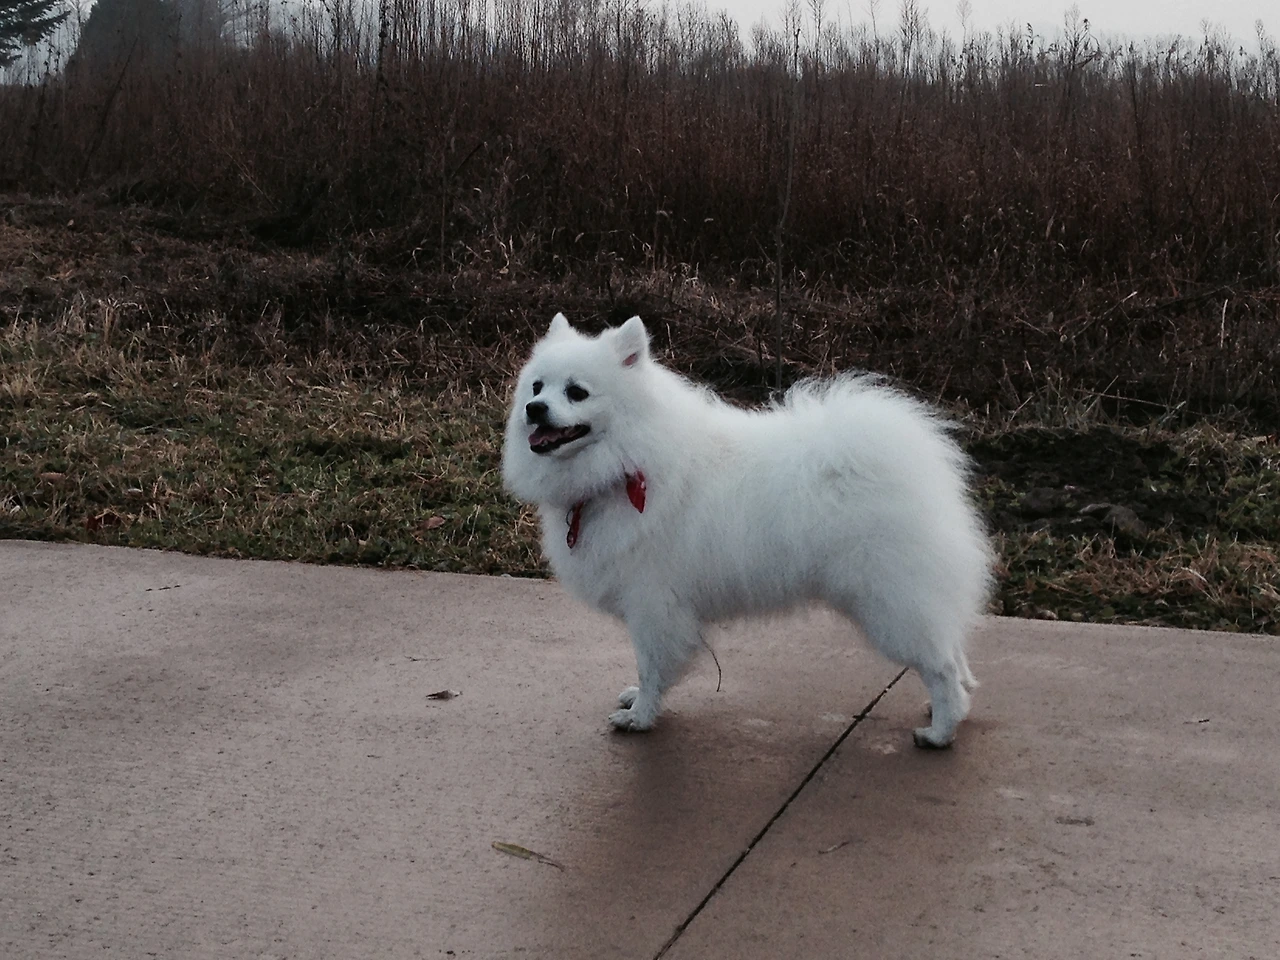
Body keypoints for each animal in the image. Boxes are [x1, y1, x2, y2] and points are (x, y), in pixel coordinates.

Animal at [502, 313, 992, 747]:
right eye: (537, 386)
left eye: (577, 392)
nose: (534, 409)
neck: (628, 459)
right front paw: (637, 701)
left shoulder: (653, 604)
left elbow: (652, 667)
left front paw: (640, 716)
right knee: (951, 646)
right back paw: (956, 703)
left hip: (889, 603)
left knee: (942, 665)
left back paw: (941, 730)